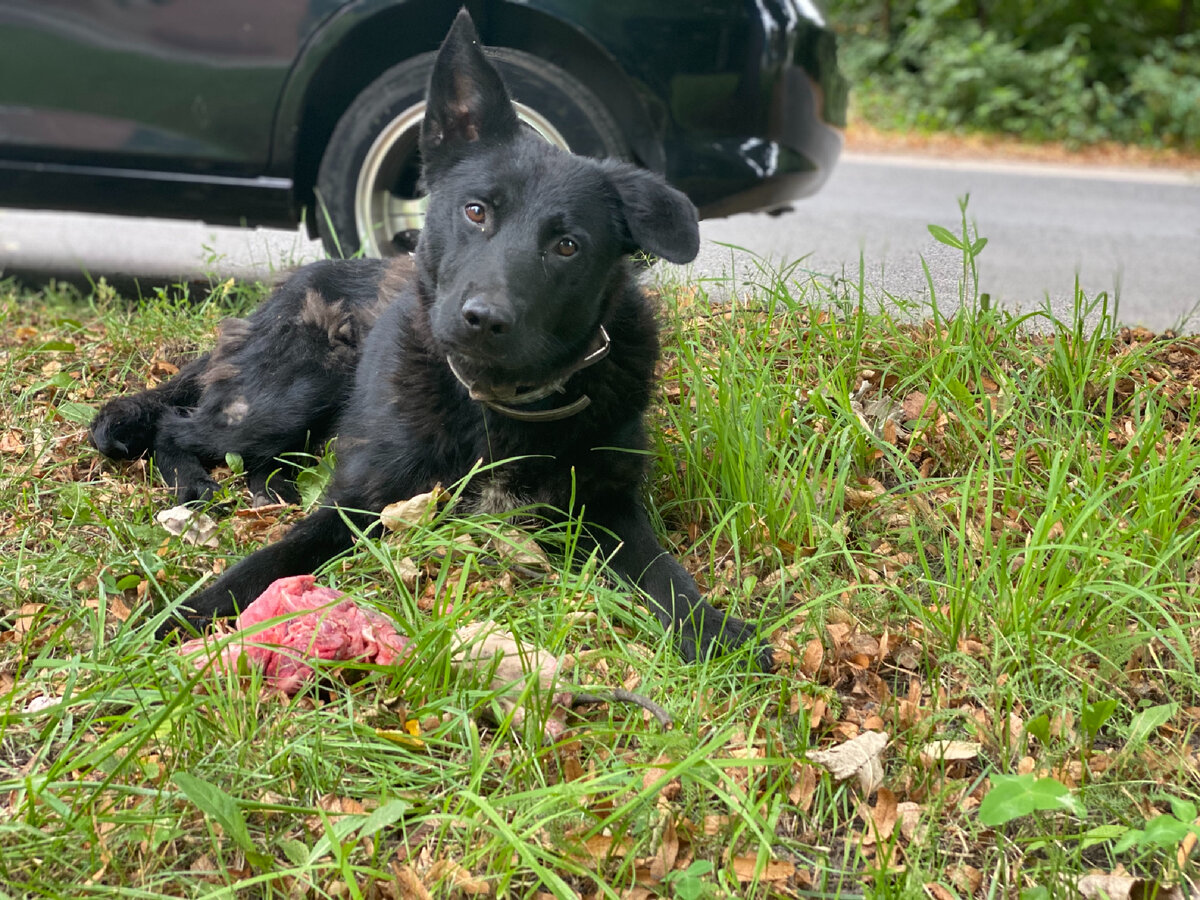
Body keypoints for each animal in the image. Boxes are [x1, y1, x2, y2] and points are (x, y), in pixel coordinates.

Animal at [91, 7, 768, 672]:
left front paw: (713, 629)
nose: (483, 318)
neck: (495, 404)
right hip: (302, 384)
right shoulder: (360, 502)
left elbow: (663, 572)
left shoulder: (608, 508)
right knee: (176, 425)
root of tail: (284, 289)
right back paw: (192, 481)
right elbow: (271, 560)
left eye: (567, 245)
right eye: (476, 211)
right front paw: (182, 616)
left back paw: (270, 485)